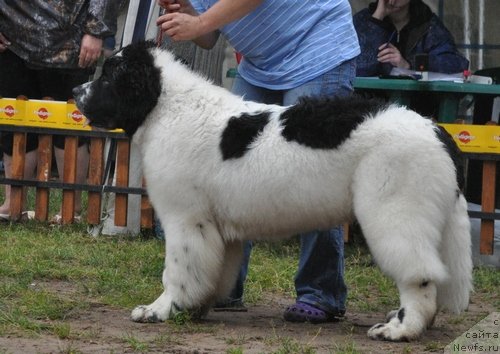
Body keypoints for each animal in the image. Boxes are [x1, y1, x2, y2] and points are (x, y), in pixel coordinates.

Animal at [72, 42, 470, 342]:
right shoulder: (218, 229)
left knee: (419, 276)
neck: (165, 106)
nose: (75, 90)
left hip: (396, 212)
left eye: (109, 76)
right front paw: (197, 308)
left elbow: (178, 270)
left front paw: (160, 310)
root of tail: (437, 131)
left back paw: (400, 329)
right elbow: (212, 272)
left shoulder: (186, 220)